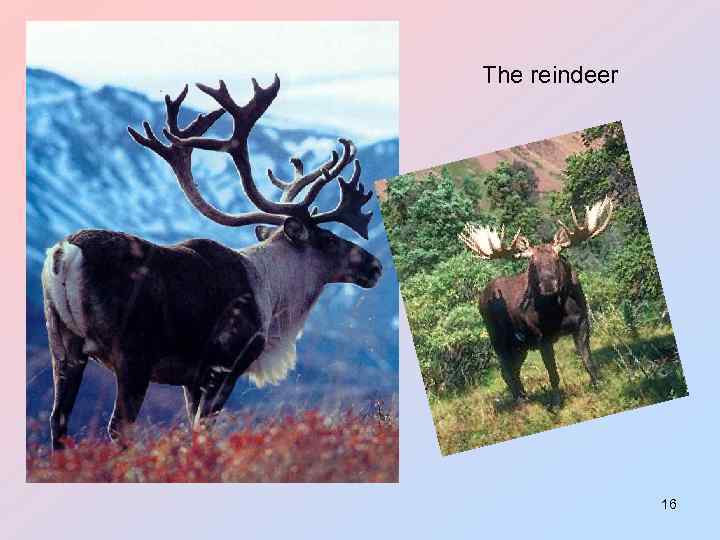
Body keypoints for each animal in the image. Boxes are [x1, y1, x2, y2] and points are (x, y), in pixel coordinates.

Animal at [41, 75, 383, 450]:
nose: (375, 266)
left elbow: (193, 427)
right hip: (133, 357)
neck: (272, 292)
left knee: (58, 420)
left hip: (63, 346)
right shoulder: (224, 366)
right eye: (329, 239)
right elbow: (204, 428)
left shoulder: (191, 379)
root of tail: (65, 253)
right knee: (119, 426)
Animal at [459, 197, 614, 406]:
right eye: (532, 263)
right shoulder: (541, 337)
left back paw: (524, 397)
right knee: (506, 371)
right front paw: (556, 402)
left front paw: (599, 385)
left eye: (557, 258)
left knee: (513, 370)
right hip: (498, 340)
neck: (560, 309)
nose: (548, 284)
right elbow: (553, 374)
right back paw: (520, 402)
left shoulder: (582, 322)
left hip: (520, 346)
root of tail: (481, 299)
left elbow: (588, 361)